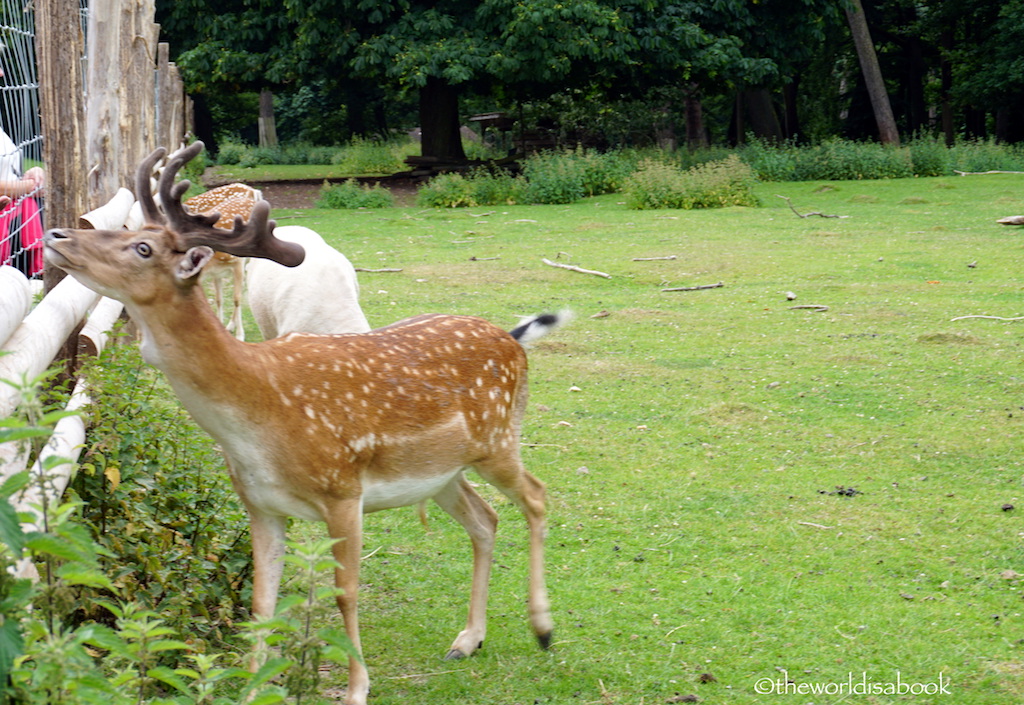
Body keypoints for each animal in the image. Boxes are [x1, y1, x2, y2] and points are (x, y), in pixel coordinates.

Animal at [44, 143, 565, 705]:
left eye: (141, 247)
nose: (57, 235)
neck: (258, 418)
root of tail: (514, 340)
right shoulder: (261, 504)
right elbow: (261, 604)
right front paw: (252, 689)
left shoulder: (343, 490)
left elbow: (345, 592)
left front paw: (357, 689)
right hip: (443, 472)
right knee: (484, 519)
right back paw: (467, 640)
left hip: (498, 438)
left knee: (536, 497)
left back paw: (542, 627)